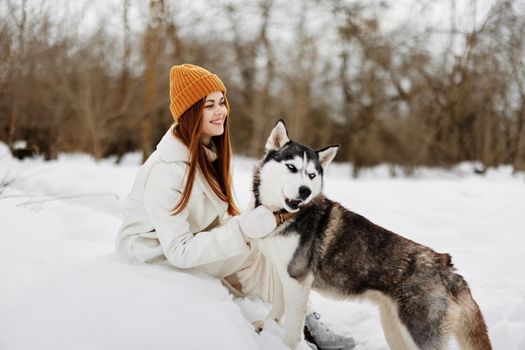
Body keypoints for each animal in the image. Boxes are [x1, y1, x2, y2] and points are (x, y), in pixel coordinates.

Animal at [252, 121, 490, 350]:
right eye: (291, 167)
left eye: (312, 175)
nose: (305, 191)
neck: (281, 215)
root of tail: (448, 267)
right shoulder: (283, 276)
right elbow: (277, 309)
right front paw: (265, 328)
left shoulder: (298, 282)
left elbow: (292, 331)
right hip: (394, 330)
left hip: (418, 332)